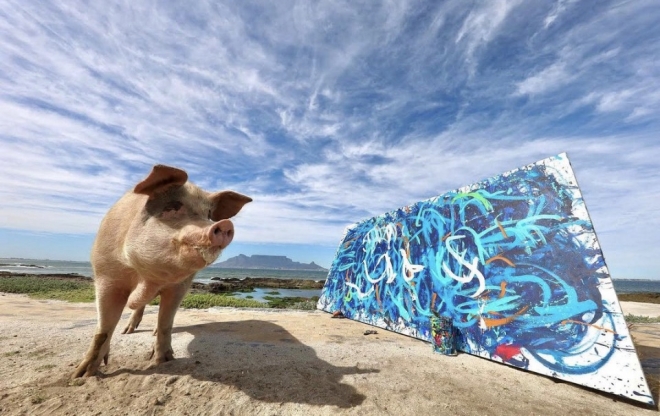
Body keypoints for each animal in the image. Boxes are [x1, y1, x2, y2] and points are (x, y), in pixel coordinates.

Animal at [73, 163, 251, 376]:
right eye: (172, 206)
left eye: (208, 214)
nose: (224, 224)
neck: (149, 278)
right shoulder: (106, 275)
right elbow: (103, 329)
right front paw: (81, 374)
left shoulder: (180, 286)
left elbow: (166, 322)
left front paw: (164, 361)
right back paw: (127, 331)